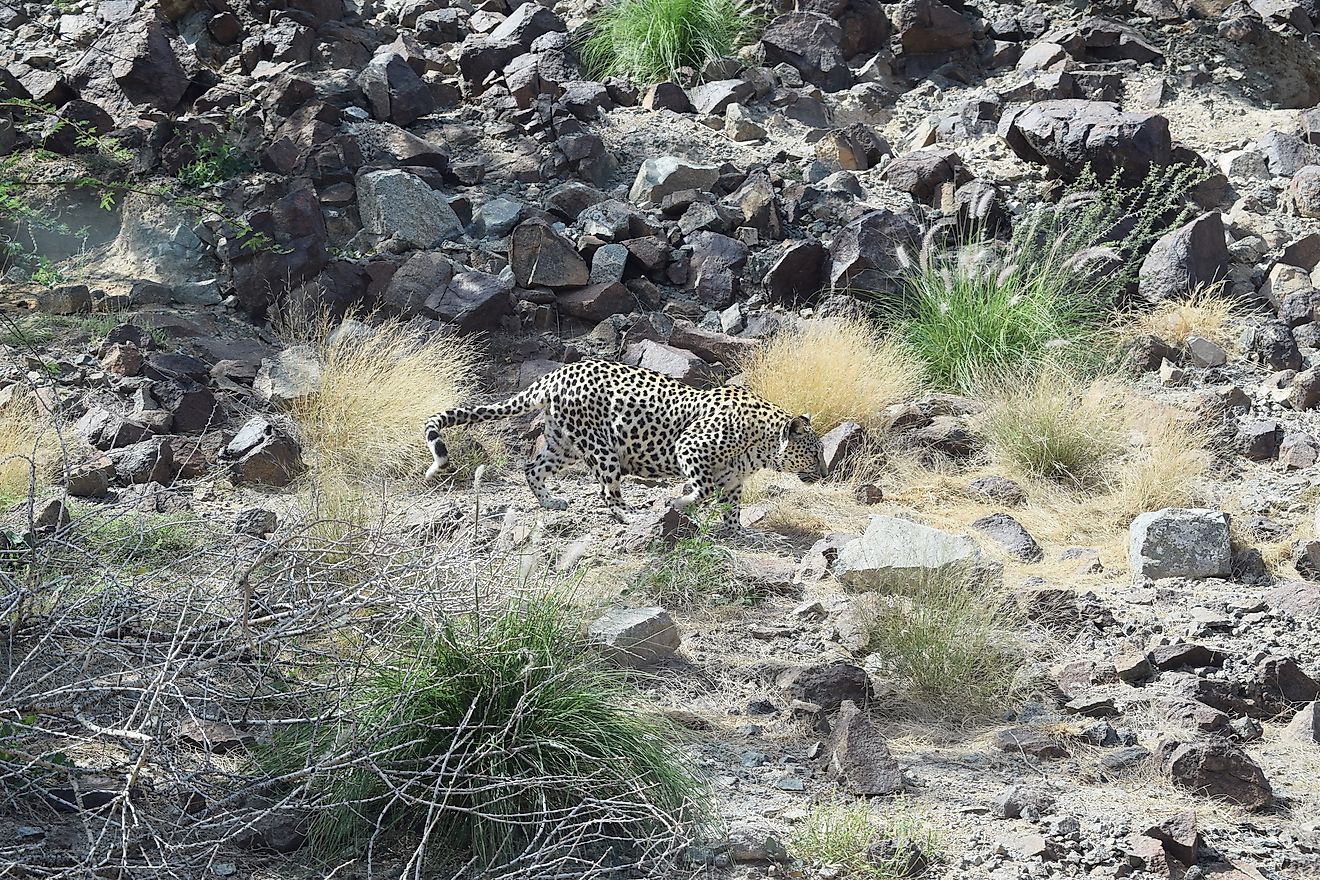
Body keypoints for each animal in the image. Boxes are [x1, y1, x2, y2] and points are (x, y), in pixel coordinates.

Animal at [422, 358, 818, 522]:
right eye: (813, 453)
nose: (823, 472)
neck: (761, 446)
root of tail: (554, 375)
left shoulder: (733, 480)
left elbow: (731, 507)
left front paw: (737, 533)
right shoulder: (689, 447)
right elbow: (703, 489)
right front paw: (680, 502)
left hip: (563, 444)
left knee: (532, 467)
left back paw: (551, 503)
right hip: (601, 449)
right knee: (607, 492)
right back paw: (630, 515)